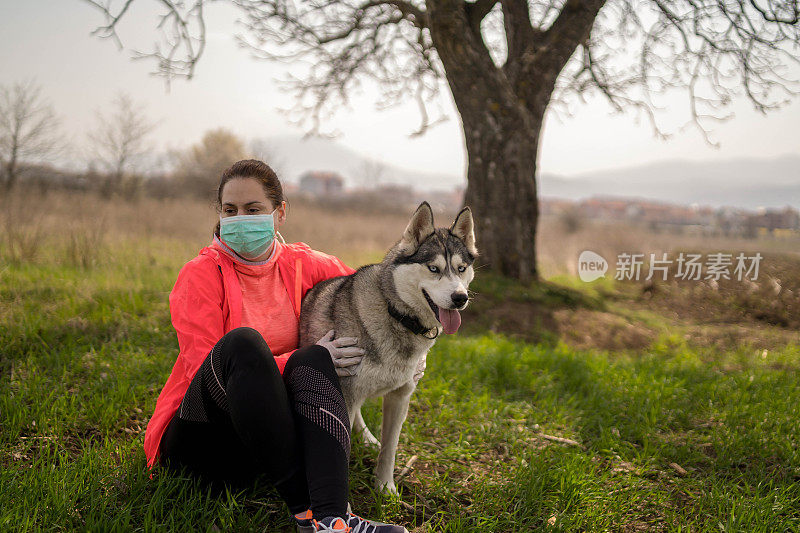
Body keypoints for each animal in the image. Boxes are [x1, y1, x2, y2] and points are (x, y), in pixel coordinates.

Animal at [298, 201, 476, 494]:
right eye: (433, 269)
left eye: (461, 269)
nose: (460, 298)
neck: (397, 316)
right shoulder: (345, 394)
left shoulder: (400, 397)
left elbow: (390, 448)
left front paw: (385, 487)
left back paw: (368, 438)